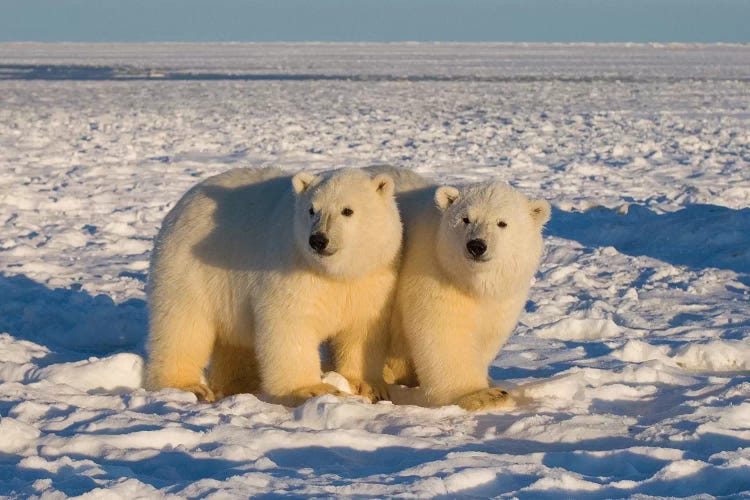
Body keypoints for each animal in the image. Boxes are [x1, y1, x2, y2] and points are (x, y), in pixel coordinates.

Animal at [145, 168, 402, 406]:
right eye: (312, 209)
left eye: (347, 210)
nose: (318, 240)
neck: (335, 273)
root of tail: (184, 200)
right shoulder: (293, 269)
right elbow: (291, 324)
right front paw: (312, 390)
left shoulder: (370, 281)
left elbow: (362, 329)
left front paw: (369, 386)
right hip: (189, 269)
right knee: (183, 326)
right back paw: (189, 386)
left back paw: (241, 384)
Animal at [382, 180, 552, 410]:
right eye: (465, 219)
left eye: (502, 223)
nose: (476, 246)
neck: (472, 282)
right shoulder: (434, 268)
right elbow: (444, 329)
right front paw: (483, 395)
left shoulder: (502, 295)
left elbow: (488, 332)